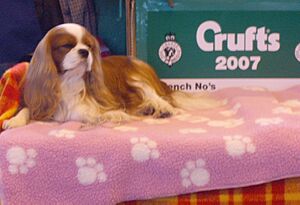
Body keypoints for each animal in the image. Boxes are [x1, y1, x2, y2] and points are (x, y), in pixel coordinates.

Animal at [2, 23, 221, 129]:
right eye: (67, 46)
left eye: (88, 45)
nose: (85, 52)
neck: (67, 82)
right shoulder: (37, 101)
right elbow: (26, 109)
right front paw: (14, 121)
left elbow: (85, 112)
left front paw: (112, 114)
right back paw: (147, 109)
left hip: (137, 78)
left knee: (160, 98)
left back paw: (161, 109)